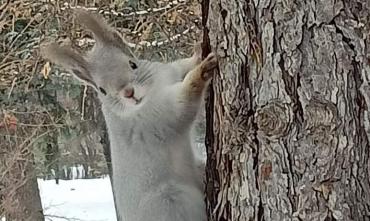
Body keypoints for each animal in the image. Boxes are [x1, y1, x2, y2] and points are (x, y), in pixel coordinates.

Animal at [41, 9, 217, 221]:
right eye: (102, 90)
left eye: (133, 64)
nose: (129, 93)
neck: (151, 93)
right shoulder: (160, 116)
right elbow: (184, 102)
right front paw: (201, 72)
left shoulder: (168, 72)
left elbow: (181, 66)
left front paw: (198, 52)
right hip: (171, 201)